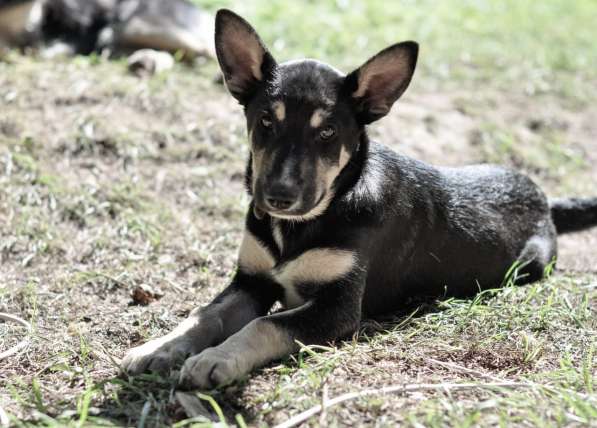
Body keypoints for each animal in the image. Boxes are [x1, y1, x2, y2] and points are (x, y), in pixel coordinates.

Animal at [121, 8, 596, 390]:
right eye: (265, 122)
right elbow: (205, 314)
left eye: (328, 132)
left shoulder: (337, 309)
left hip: (529, 264)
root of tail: (544, 199)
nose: (278, 196)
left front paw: (216, 358)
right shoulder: (250, 281)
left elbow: (264, 325)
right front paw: (160, 347)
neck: (300, 226)